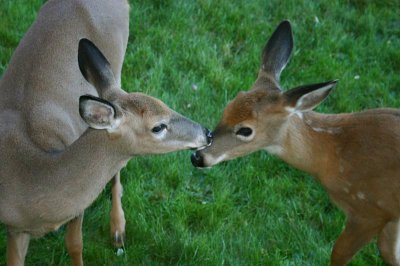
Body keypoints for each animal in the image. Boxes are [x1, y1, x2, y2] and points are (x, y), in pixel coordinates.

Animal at [0, 1, 212, 264]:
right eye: (158, 126)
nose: (207, 133)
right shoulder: (15, 229)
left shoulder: (78, 206)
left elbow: (74, 244)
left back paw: (118, 231)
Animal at [191, 20, 400, 266]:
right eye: (227, 107)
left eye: (245, 130)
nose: (197, 156)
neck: (334, 154)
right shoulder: (390, 214)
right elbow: (389, 252)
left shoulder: (370, 210)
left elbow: (339, 254)